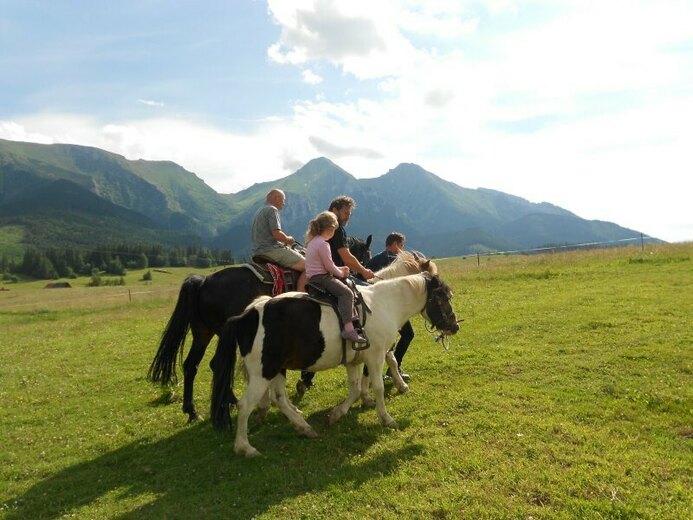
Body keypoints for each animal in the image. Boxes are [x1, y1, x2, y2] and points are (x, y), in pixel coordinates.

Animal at [211, 270, 460, 458]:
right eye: (441, 298)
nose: (454, 326)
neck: (385, 303)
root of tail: (245, 317)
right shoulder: (375, 356)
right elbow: (377, 387)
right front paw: (386, 418)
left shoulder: (354, 361)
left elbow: (355, 389)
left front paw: (336, 414)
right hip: (263, 372)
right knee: (245, 405)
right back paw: (245, 447)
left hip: (277, 369)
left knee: (279, 398)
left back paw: (304, 427)